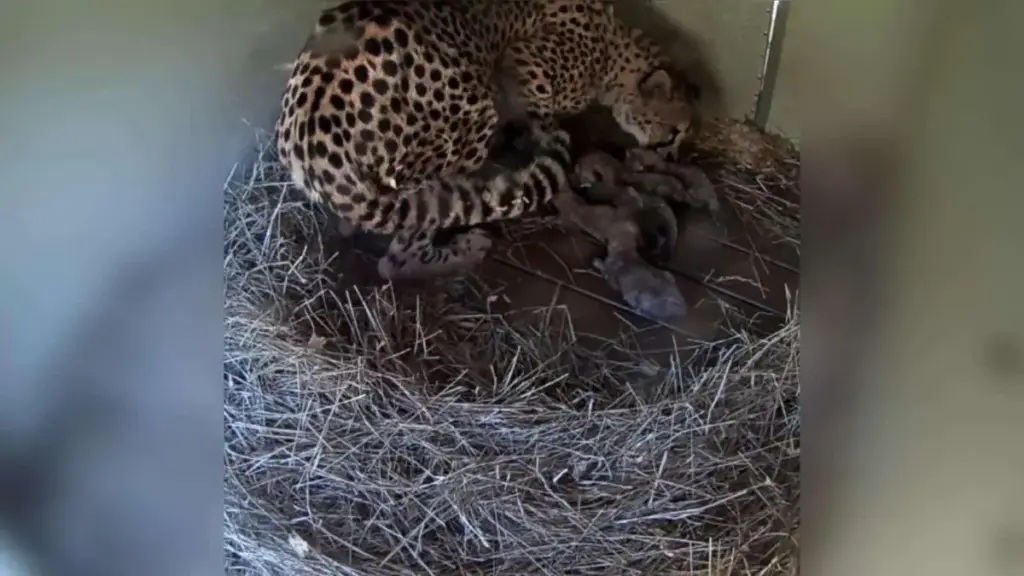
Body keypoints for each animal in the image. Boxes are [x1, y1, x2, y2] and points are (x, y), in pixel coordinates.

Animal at [275, 0, 699, 280]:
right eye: (674, 133)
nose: (673, 158)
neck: (616, 52)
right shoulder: (522, 59)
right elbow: (542, 112)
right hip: (468, 120)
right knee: (398, 255)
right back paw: (464, 247)